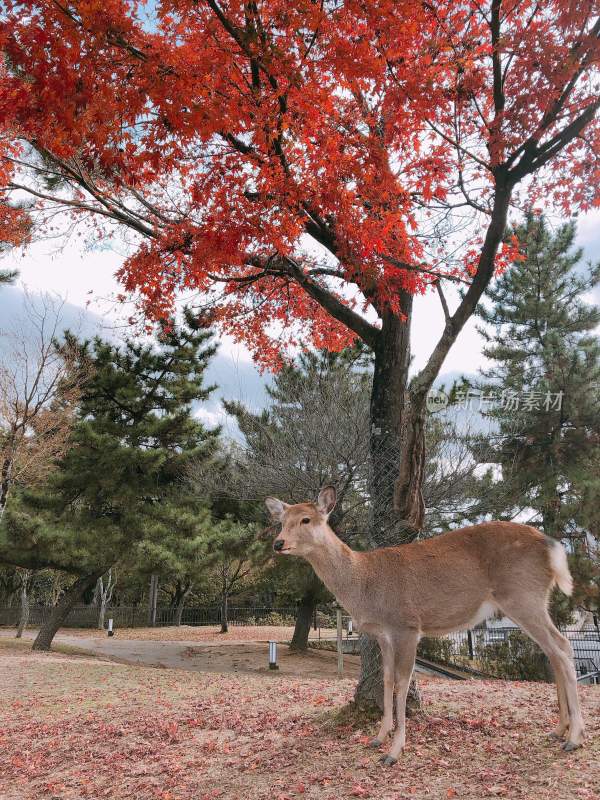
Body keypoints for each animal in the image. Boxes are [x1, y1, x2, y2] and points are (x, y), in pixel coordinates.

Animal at [264, 484, 584, 764]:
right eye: (281, 520)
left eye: (306, 519)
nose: (278, 543)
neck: (364, 583)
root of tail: (553, 547)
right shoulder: (383, 634)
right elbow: (387, 680)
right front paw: (378, 737)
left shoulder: (406, 625)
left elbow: (403, 683)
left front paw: (394, 751)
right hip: (529, 601)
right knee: (553, 651)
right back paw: (559, 730)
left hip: (523, 595)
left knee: (563, 646)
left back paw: (575, 737)